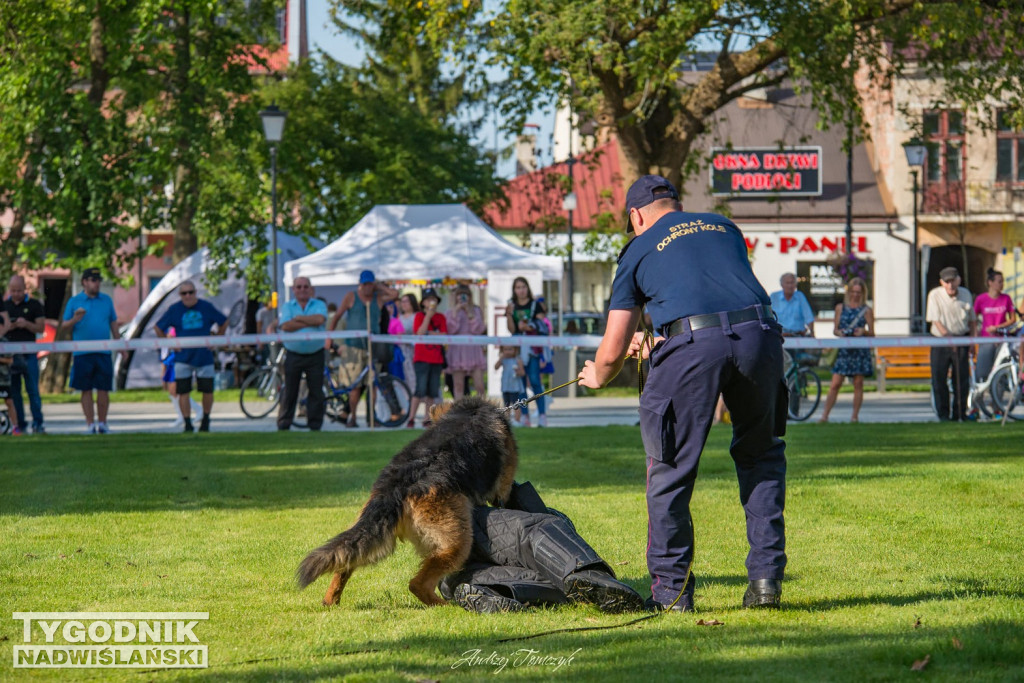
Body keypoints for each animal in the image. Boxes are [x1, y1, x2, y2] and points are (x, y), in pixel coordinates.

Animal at [299, 397, 520, 606]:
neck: (469, 411)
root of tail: (395, 486)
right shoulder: (503, 486)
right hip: (457, 541)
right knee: (418, 584)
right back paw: (445, 605)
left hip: (362, 529)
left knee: (344, 565)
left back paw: (330, 600)